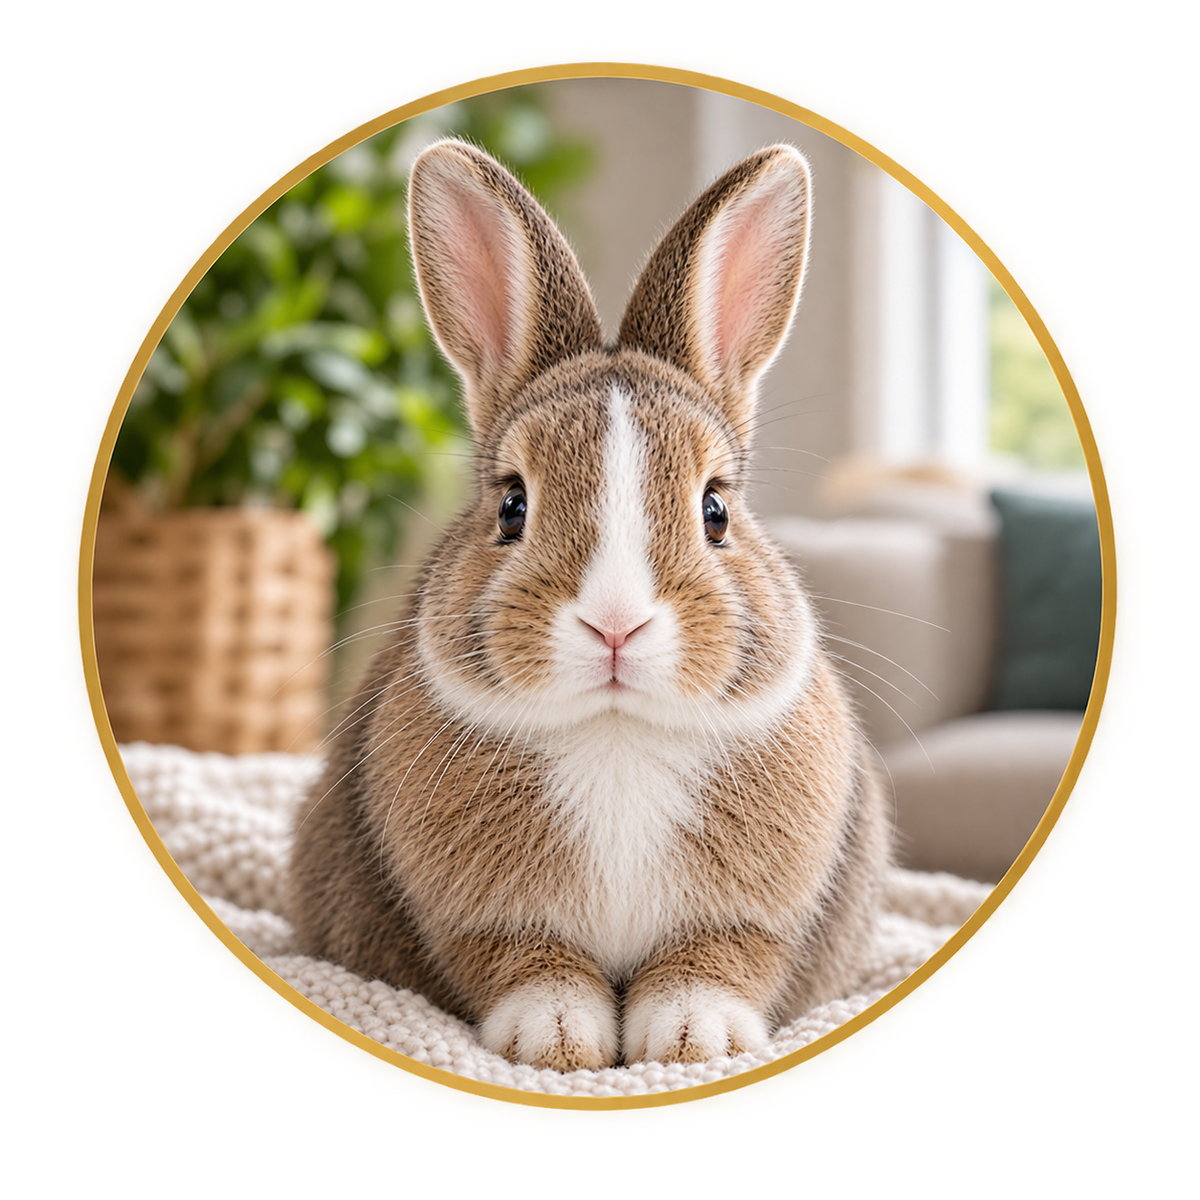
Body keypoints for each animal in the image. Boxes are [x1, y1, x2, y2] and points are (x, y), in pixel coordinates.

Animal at [289, 137, 891, 1073]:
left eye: (716, 509)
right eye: (512, 505)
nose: (615, 624)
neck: (616, 731)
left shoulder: (752, 915)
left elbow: (717, 959)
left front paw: (690, 1038)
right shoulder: (483, 916)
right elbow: (529, 965)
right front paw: (559, 1042)